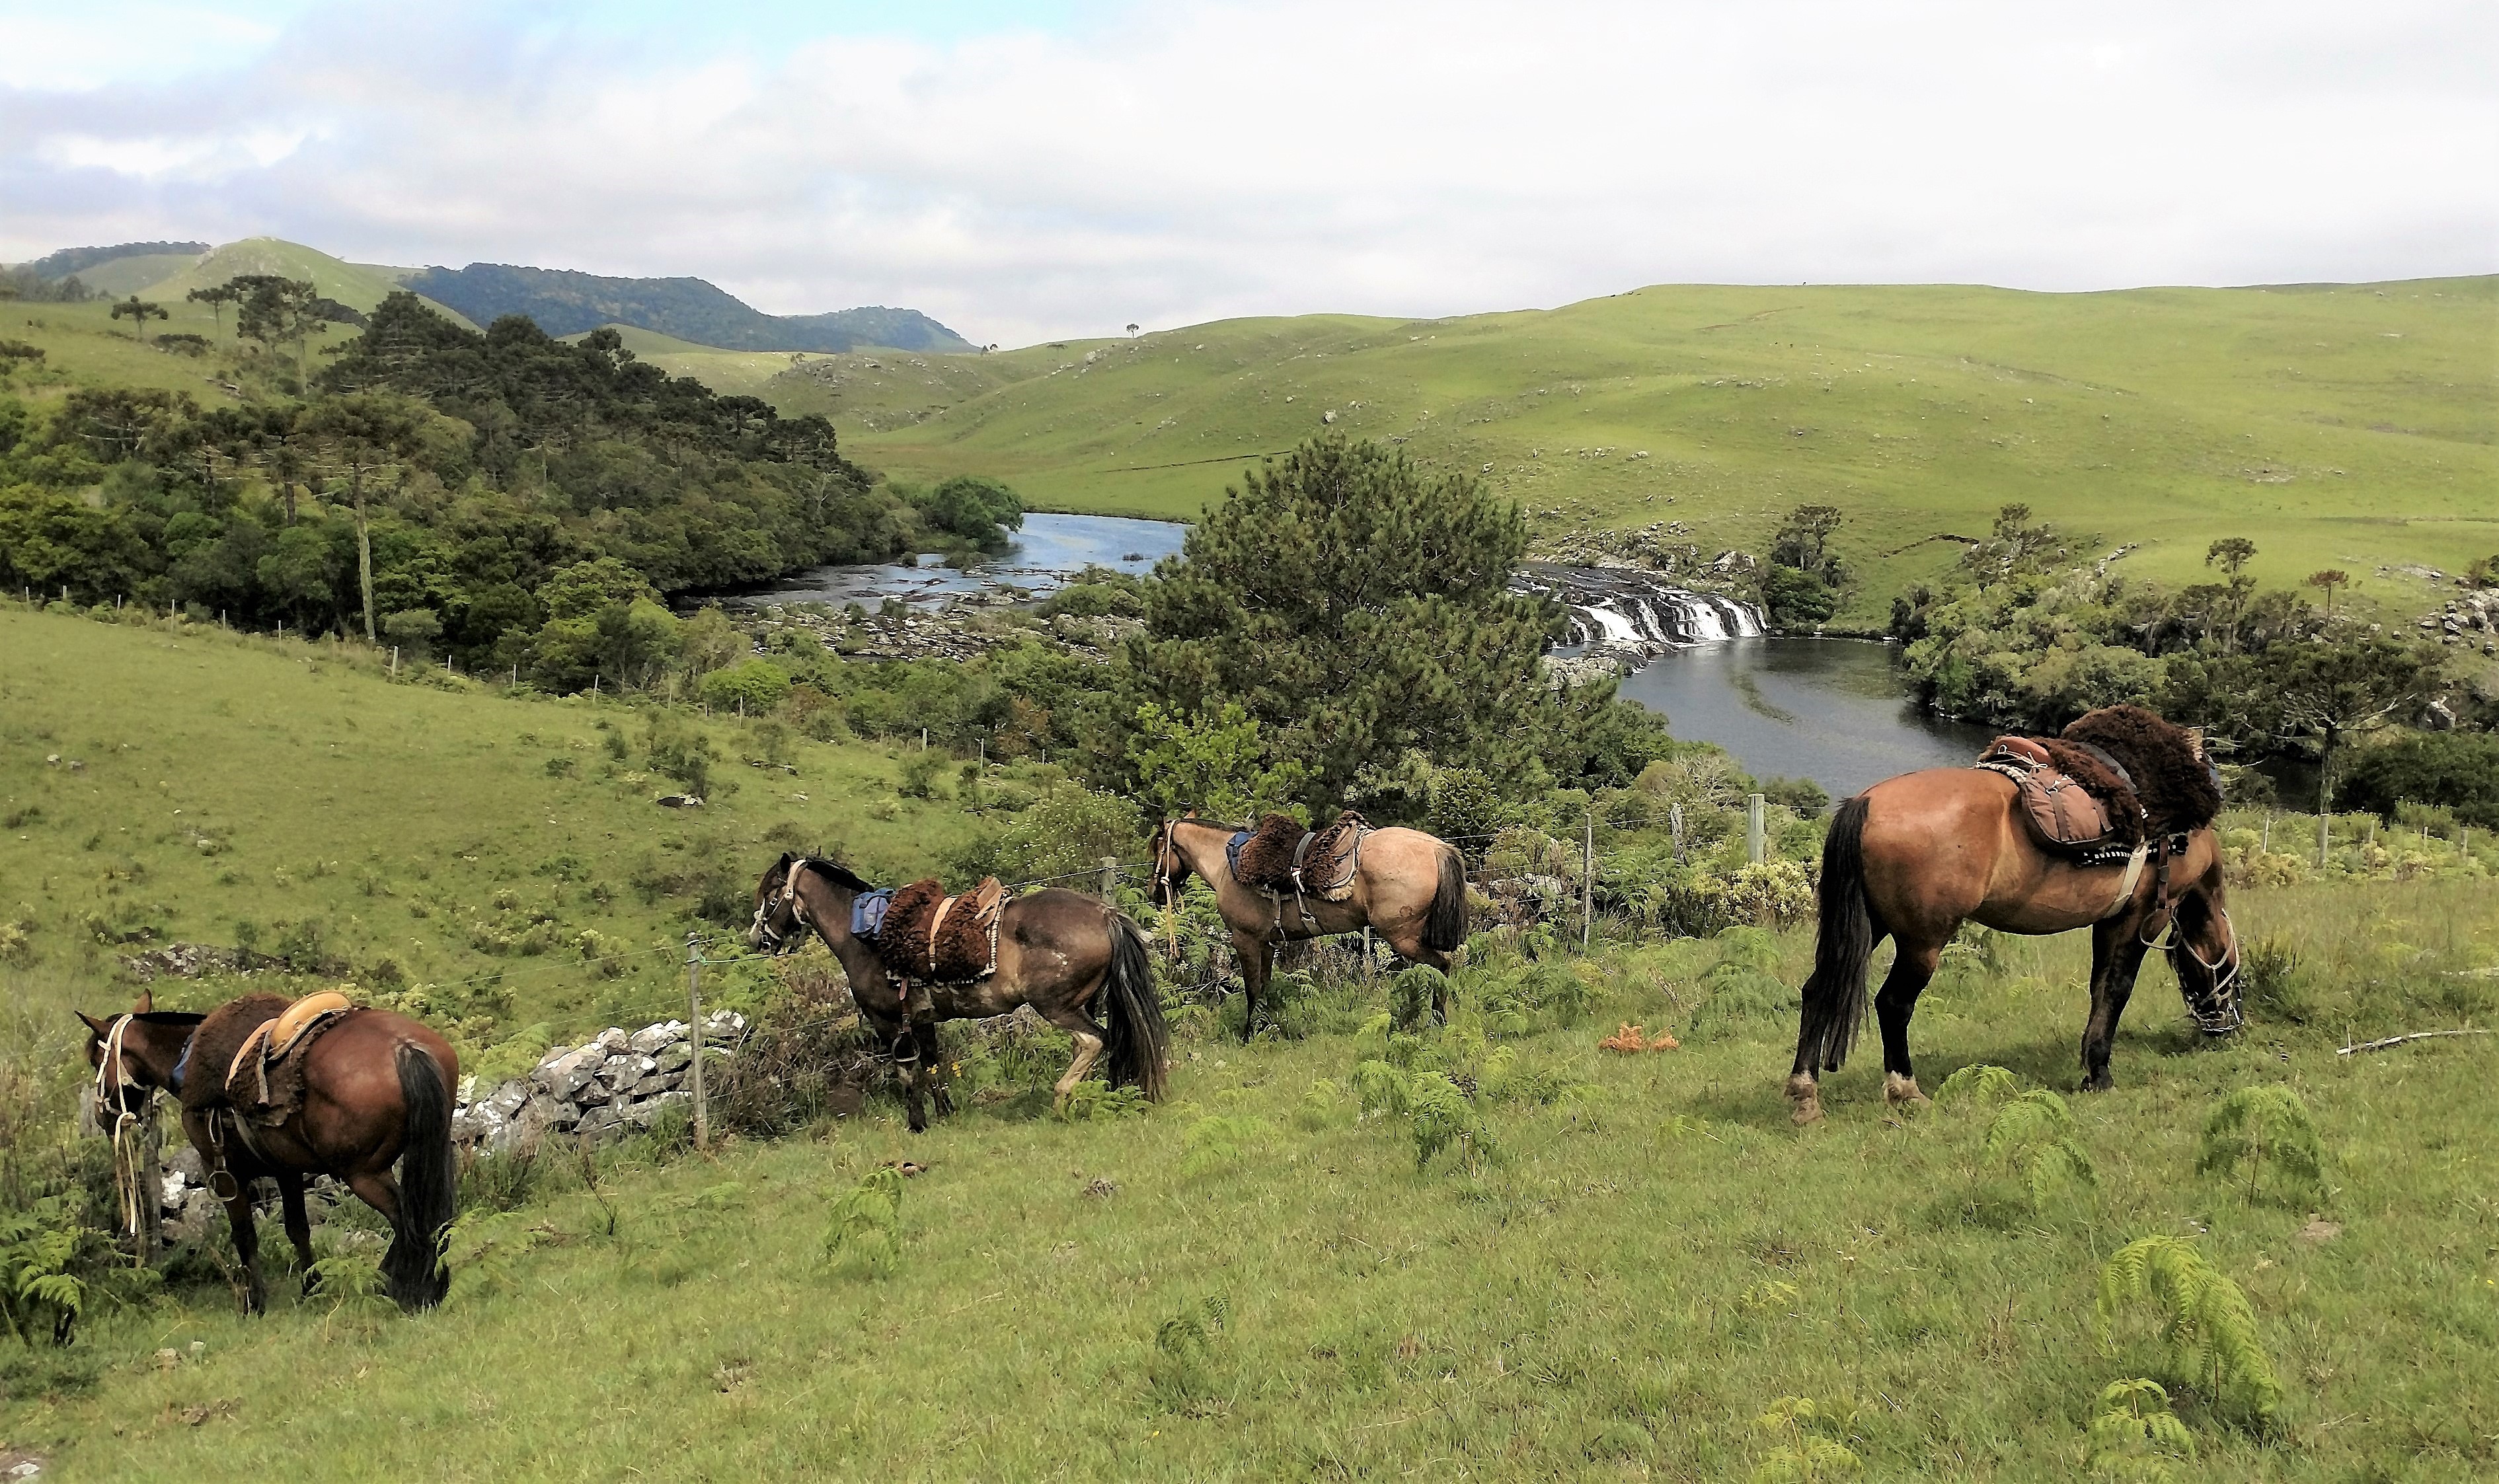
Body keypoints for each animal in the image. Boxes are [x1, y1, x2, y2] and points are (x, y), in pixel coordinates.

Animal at [77, 989, 459, 1312]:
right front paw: (311, 1287)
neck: (186, 1060)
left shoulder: (224, 1172)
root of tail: (405, 1048)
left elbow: (245, 1235)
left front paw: (255, 1302)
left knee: (409, 1220)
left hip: (363, 1174)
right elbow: (298, 1229)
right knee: (435, 1218)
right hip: (429, 1152)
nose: (101, 1116)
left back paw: (400, 1285)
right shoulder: (286, 1168)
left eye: (97, 1059)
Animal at [747, 855, 1169, 1130]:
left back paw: (1062, 1099)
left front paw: (917, 1123)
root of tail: (1105, 914)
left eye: (771, 895)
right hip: (1086, 1001)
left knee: (1094, 1040)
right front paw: (945, 1113)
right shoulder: (922, 1020)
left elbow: (907, 1074)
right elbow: (933, 1068)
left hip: (1056, 1006)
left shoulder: (888, 1023)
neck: (866, 936)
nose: (757, 939)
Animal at [1148, 812, 1470, 1040]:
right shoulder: (1267, 943)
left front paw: (1249, 1034)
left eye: (1157, 851)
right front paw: (1267, 1027)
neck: (1228, 864)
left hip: (1403, 937)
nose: (1155, 893)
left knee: (1441, 966)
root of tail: (1437, 848)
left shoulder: (1245, 939)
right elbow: (1264, 987)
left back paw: (1437, 1022)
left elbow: (1252, 989)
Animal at [1785, 771, 2241, 1125]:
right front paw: (2100, 1073)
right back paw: (1905, 1089)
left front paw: (2090, 1065)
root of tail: (1866, 802)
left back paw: (1805, 1095)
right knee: (1893, 1004)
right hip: (1922, 943)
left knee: (1818, 991)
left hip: (1872, 928)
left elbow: (2099, 988)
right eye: (2229, 966)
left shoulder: (2107, 921)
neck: (2180, 838)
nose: (2227, 1027)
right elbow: (2116, 990)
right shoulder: (2141, 917)